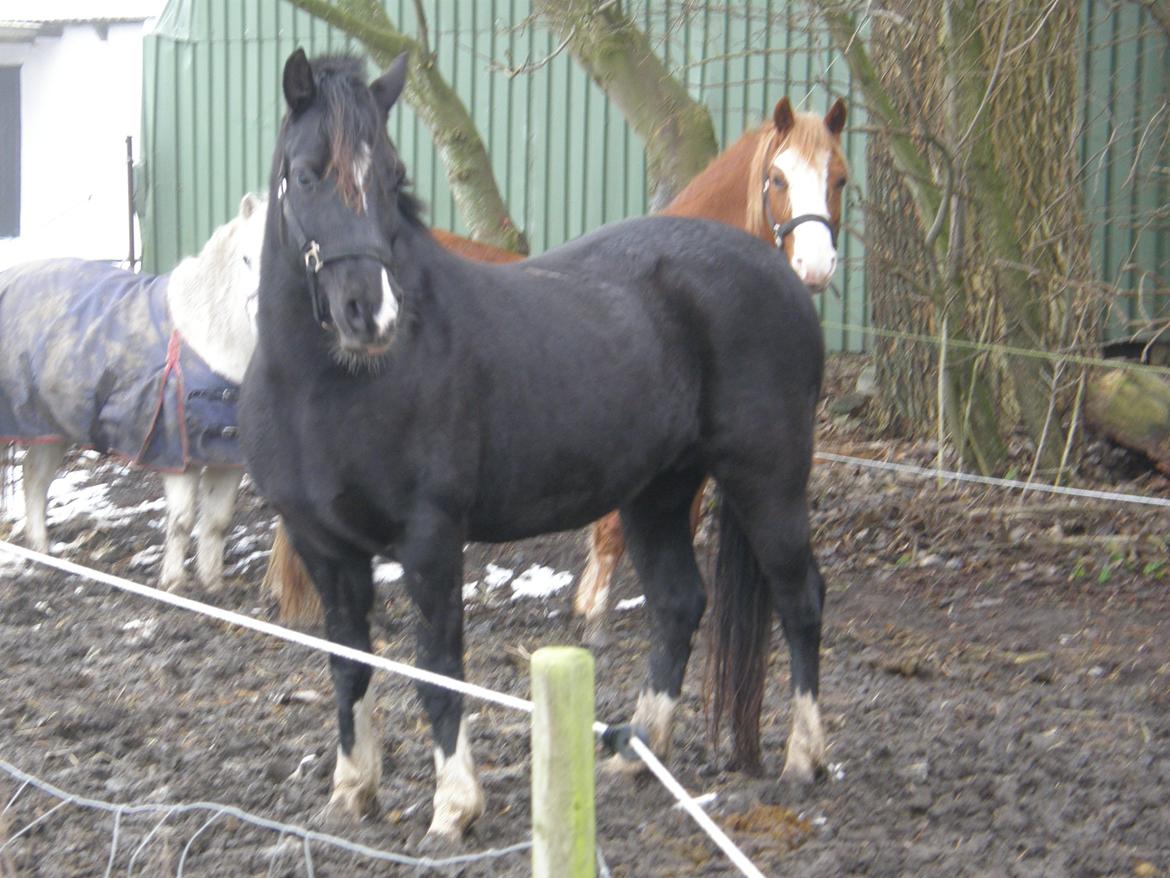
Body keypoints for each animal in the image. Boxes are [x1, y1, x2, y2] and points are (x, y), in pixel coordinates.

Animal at [237, 51, 828, 842]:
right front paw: (352, 791)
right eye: (306, 174)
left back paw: (803, 759)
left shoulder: (431, 540)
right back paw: (636, 758)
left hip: (768, 482)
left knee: (801, 602)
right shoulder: (325, 547)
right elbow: (348, 665)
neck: (328, 388)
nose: (371, 314)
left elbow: (439, 669)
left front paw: (454, 806)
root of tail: (783, 278)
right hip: (659, 493)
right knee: (679, 604)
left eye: (392, 176)